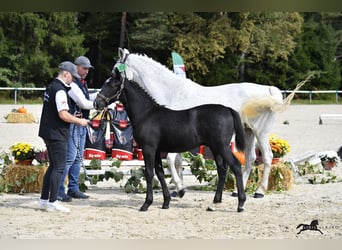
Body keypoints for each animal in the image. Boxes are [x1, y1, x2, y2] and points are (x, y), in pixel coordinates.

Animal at [95, 70, 247, 213]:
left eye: (112, 85)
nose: (97, 103)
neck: (146, 114)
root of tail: (228, 109)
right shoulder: (156, 150)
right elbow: (160, 172)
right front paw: (166, 202)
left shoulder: (148, 149)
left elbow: (149, 173)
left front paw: (146, 204)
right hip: (215, 148)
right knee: (222, 170)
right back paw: (214, 203)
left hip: (222, 147)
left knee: (235, 166)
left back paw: (240, 203)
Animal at [115, 47, 302, 198]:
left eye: (115, 71)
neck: (172, 92)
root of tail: (269, 90)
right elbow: (177, 162)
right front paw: (179, 189)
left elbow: (170, 160)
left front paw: (180, 188)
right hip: (248, 132)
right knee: (250, 158)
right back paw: (237, 191)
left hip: (261, 132)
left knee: (267, 157)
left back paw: (259, 191)